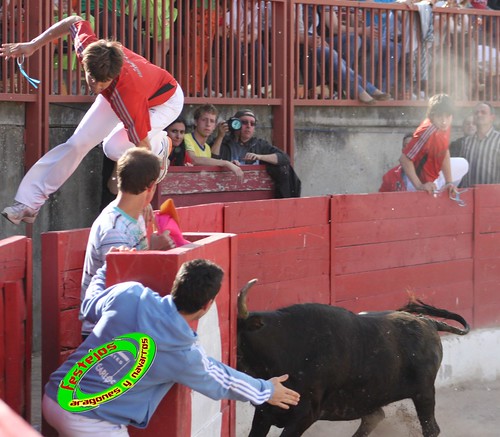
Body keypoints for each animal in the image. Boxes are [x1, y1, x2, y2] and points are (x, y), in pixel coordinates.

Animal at [237, 280, 468, 436]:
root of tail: (428, 322)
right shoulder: (264, 412)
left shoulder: (303, 417)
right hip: (369, 398)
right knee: (374, 417)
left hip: (424, 393)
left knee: (430, 428)